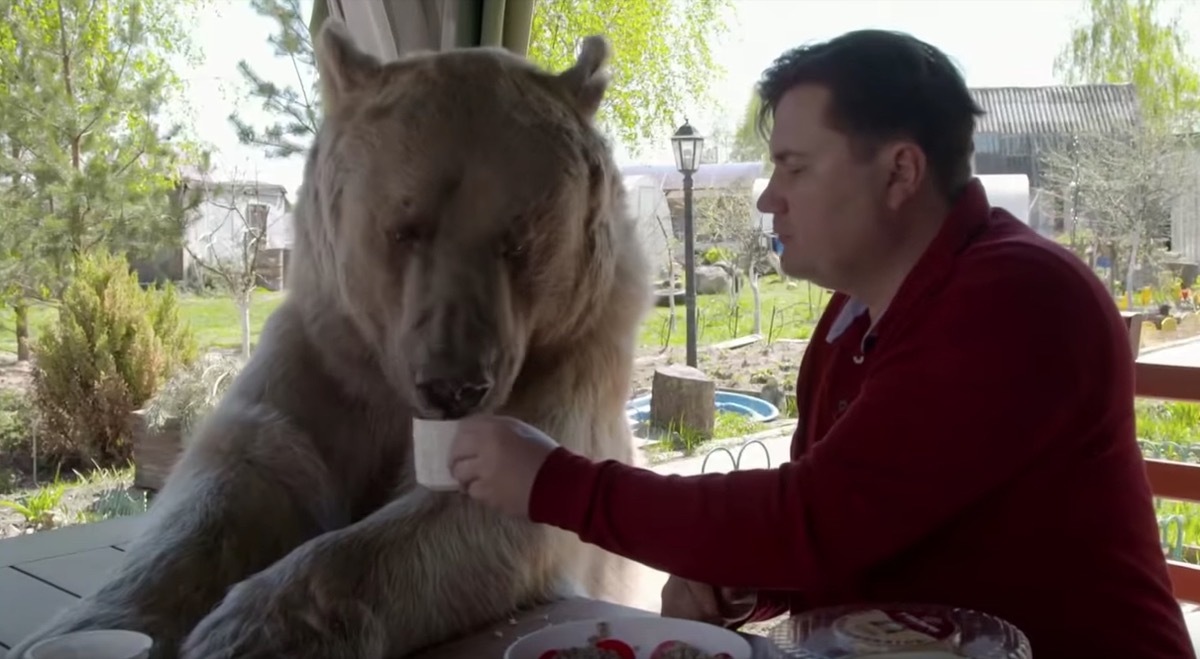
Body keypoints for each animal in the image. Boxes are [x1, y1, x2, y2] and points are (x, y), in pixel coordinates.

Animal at [8, 19, 651, 659]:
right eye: (403, 228)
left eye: (519, 242)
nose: (455, 386)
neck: (386, 377)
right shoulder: (321, 358)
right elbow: (239, 476)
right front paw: (93, 625)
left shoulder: (564, 365)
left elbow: (478, 512)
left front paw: (248, 630)